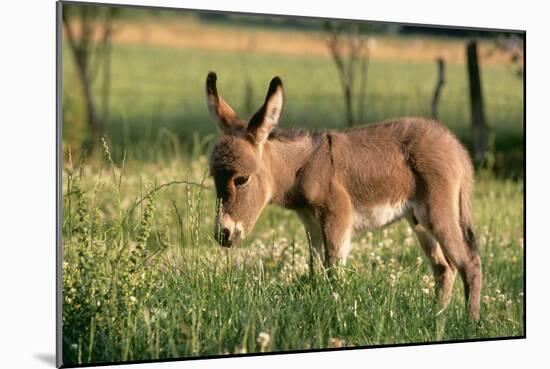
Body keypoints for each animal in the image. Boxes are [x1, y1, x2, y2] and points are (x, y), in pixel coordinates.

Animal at [206, 72, 484, 320]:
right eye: (213, 178)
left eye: (241, 179)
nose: (223, 235)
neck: (303, 167)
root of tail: (456, 147)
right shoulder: (311, 223)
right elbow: (315, 271)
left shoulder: (337, 216)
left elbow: (333, 271)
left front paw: (333, 310)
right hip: (418, 221)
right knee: (444, 268)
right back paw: (437, 317)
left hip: (437, 213)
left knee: (469, 263)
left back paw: (469, 322)